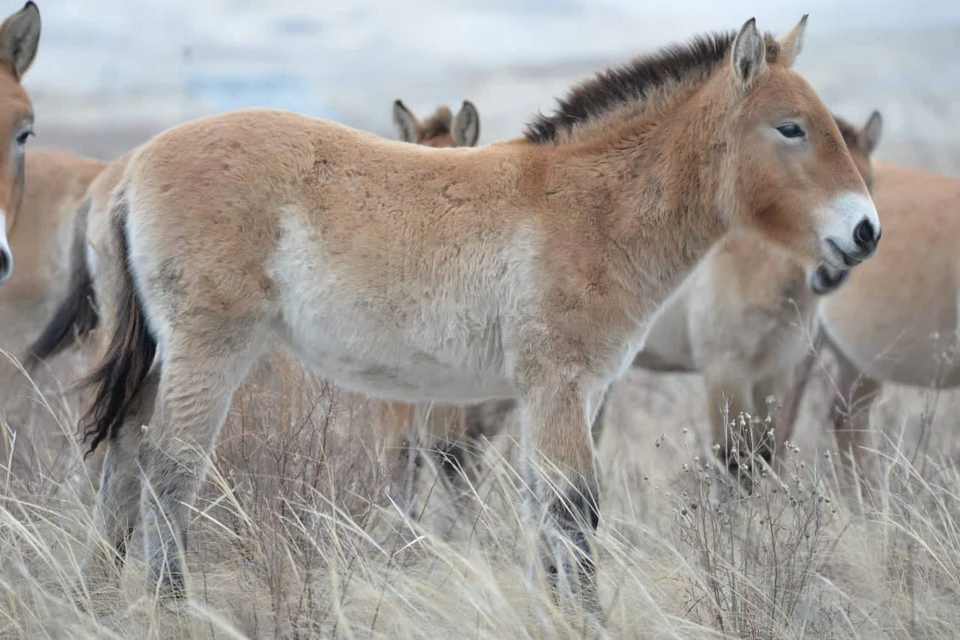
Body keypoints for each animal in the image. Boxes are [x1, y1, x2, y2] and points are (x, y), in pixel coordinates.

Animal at [628, 112, 880, 478]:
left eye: (870, 183)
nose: (831, 273)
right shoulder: (725, 374)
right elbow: (734, 458)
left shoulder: (775, 374)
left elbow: (763, 454)